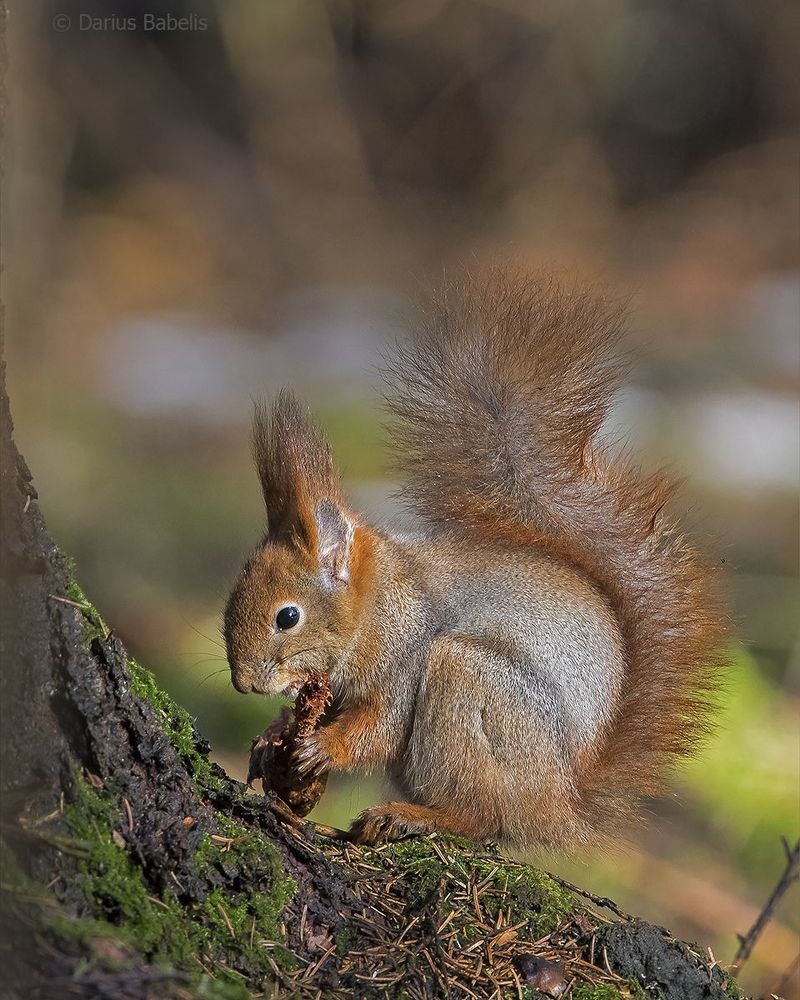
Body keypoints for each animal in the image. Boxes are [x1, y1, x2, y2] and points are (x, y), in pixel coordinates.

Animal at [223, 268, 728, 849]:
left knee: (482, 818)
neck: (379, 600)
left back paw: (413, 816)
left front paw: (320, 747)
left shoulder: (405, 651)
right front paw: (273, 735)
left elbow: (380, 727)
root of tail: (560, 805)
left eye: (288, 616)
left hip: (467, 684)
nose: (244, 684)